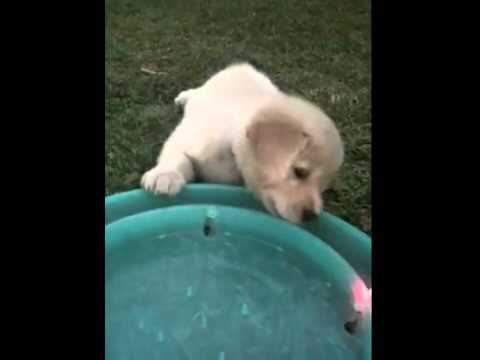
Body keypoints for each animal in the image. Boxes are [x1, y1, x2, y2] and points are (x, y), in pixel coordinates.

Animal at [141, 63, 344, 224]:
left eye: (323, 186)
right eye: (299, 172)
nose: (311, 216)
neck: (232, 148)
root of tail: (242, 67)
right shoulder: (186, 139)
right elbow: (178, 158)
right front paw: (165, 176)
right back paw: (184, 96)